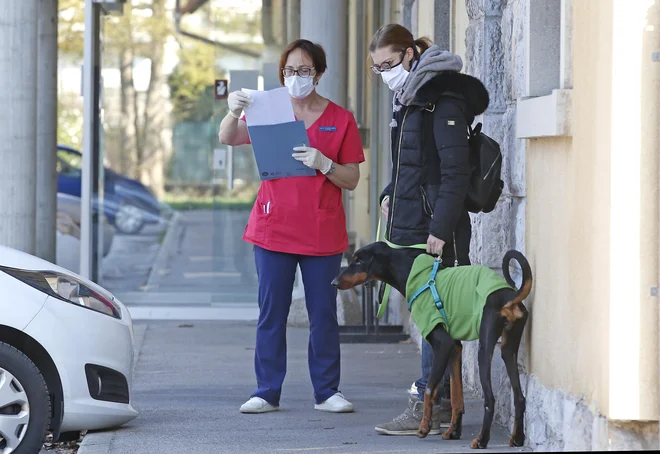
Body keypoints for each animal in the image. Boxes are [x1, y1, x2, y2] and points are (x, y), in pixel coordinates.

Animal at [330, 243, 532, 448]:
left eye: (358, 261)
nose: (333, 283)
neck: (410, 271)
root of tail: (510, 296)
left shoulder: (443, 345)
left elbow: (429, 388)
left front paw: (424, 427)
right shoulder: (455, 348)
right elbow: (457, 396)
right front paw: (453, 431)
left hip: (484, 350)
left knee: (490, 398)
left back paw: (481, 439)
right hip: (508, 350)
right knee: (520, 397)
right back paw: (517, 437)